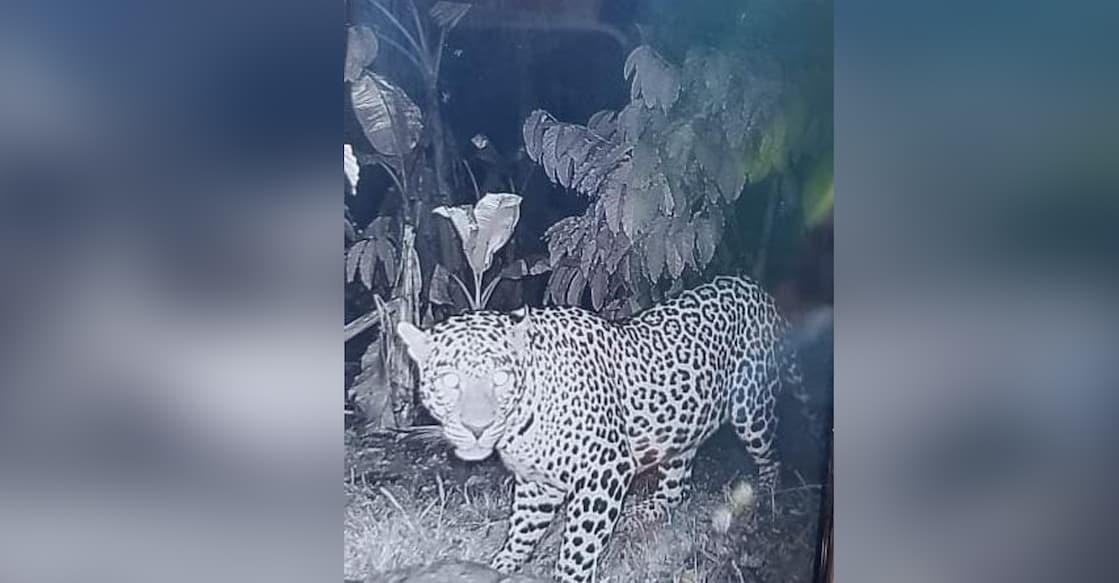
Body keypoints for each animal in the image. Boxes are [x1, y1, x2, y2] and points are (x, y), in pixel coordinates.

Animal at [396, 275, 801, 583]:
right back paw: (652, 510)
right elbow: (522, 530)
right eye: (450, 380)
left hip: (751, 410)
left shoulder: (605, 471)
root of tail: (755, 288)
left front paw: (568, 577)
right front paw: (502, 566)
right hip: (681, 421)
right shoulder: (537, 484)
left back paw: (768, 500)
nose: (476, 428)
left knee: (772, 457)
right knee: (679, 481)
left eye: (501, 378)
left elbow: (578, 547)